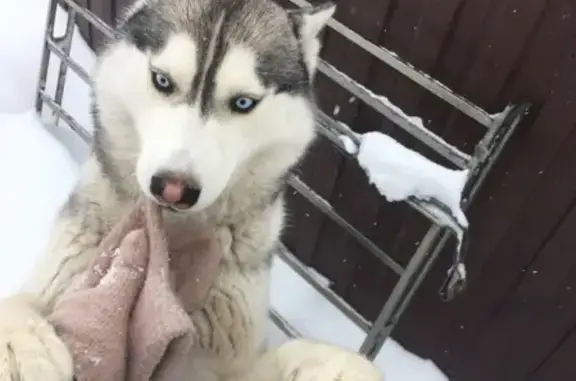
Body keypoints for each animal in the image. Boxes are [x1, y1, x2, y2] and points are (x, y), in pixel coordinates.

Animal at [0, 0, 364, 378]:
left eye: (244, 103)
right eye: (162, 80)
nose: (173, 189)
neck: (174, 239)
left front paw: (337, 365)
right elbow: (18, 306)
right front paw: (21, 348)